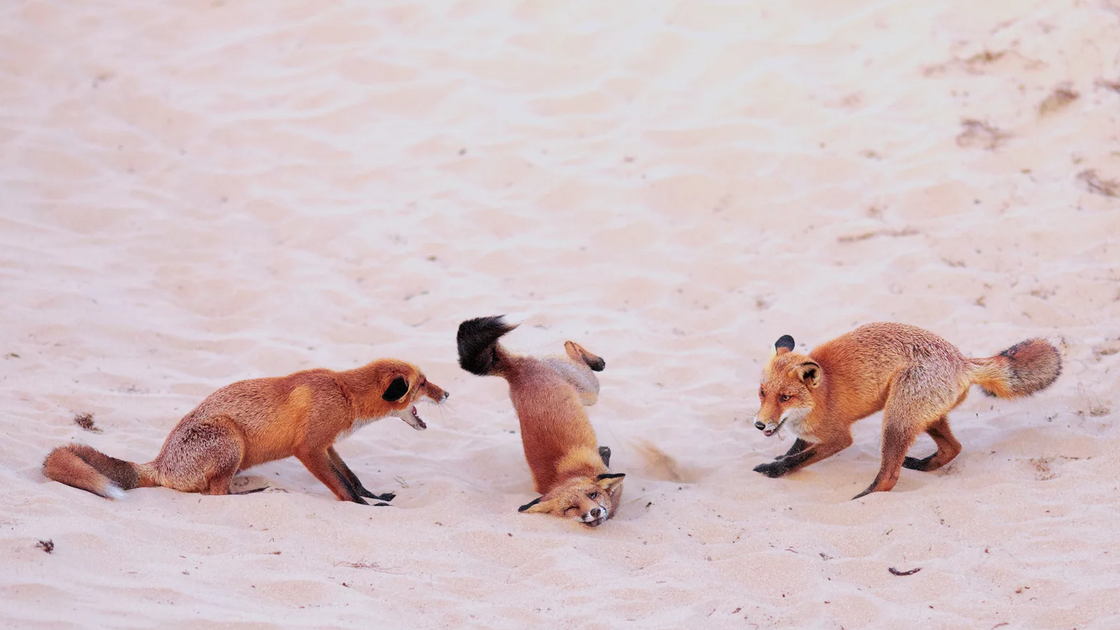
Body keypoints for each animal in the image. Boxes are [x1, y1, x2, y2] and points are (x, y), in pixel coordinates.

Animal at [43, 359, 448, 504]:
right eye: (423, 384)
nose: (446, 394)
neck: (343, 392)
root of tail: (160, 464)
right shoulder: (309, 448)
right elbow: (343, 488)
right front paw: (363, 507)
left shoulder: (327, 445)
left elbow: (352, 477)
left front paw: (375, 497)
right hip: (230, 439)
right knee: (216, 494)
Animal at [456, 315, 624, 527]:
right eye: (571, 508)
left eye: (593, 495)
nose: (594, 512)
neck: (568, 475)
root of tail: (516, 369)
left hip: (589, 390)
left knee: (573, 348)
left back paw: (596, 360)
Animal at [751, 323, 1061, 499]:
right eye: (763, 392)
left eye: (785, 397)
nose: (759, 424)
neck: (821, 393)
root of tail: (962, 360)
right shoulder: (811, 431)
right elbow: (796, 448)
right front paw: (781, 456)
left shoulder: (839, 437)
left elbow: (800, 458)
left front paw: (774, 469)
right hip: (923, 415)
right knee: (953, 447)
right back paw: (922, 464)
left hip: (895, 419)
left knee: (890, 476)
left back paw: (864, 497)